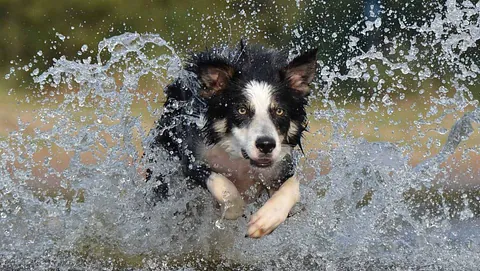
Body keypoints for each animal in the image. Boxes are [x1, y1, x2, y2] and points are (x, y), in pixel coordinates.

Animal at [145, 41, 318, 239]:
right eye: (241, 110)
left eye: (279, 111)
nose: (266, 145)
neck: (240, 159)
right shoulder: (191, 159)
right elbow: (223, 185)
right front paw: (231, 209)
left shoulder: (281, 166)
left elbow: (293, 187)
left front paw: (265, 220)